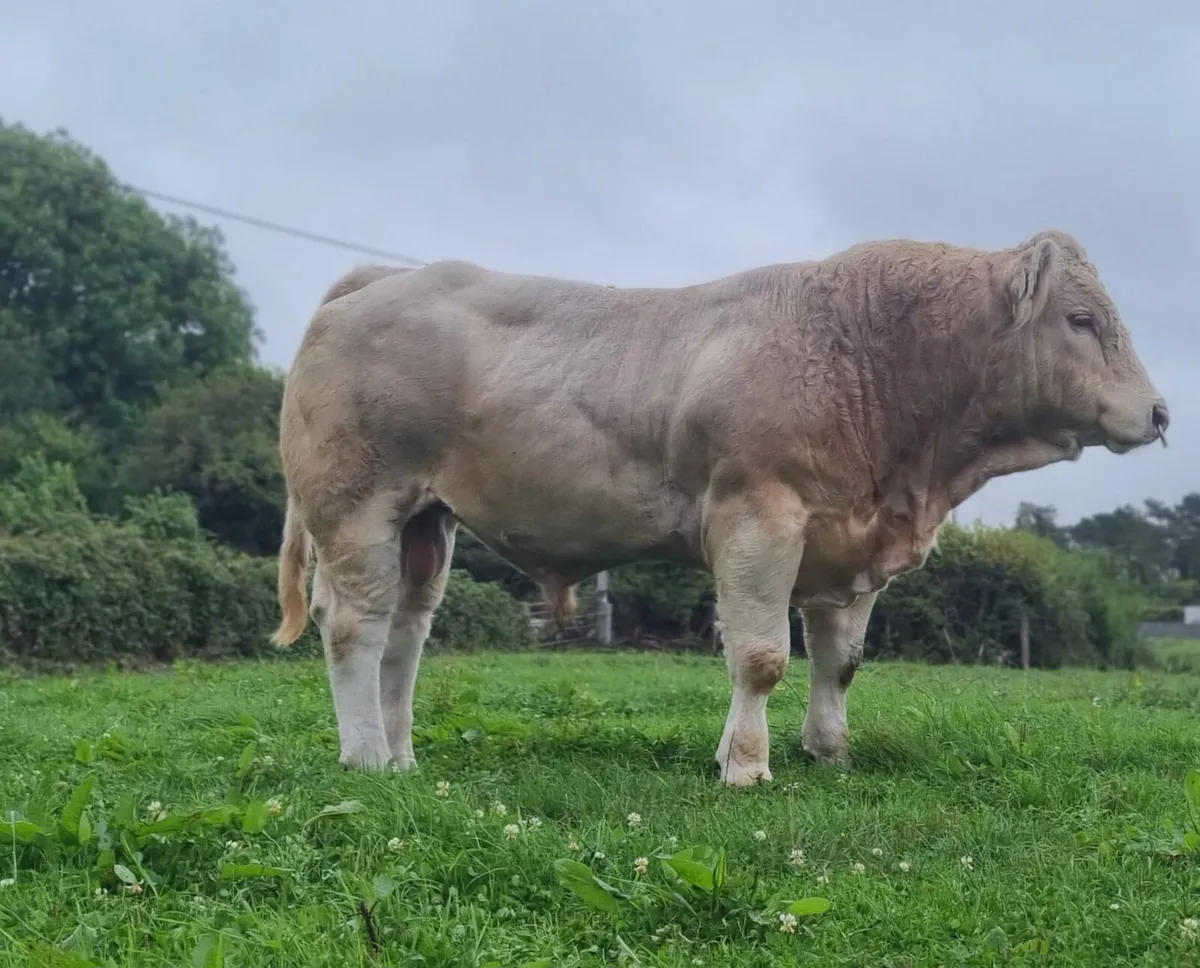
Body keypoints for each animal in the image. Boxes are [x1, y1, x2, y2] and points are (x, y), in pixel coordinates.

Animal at [271, 230, 1167, 786]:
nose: (1160, 413)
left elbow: (841, 662)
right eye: (1081, 319)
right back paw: (365, 758)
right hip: (356, 507)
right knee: (356, 627)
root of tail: (388, 276)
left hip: (427, 523)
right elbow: (762, 656)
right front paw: (745, 764)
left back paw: (402, 756)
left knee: (405, 636)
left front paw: (829, 751)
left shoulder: (849, 543)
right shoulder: (757, 516)